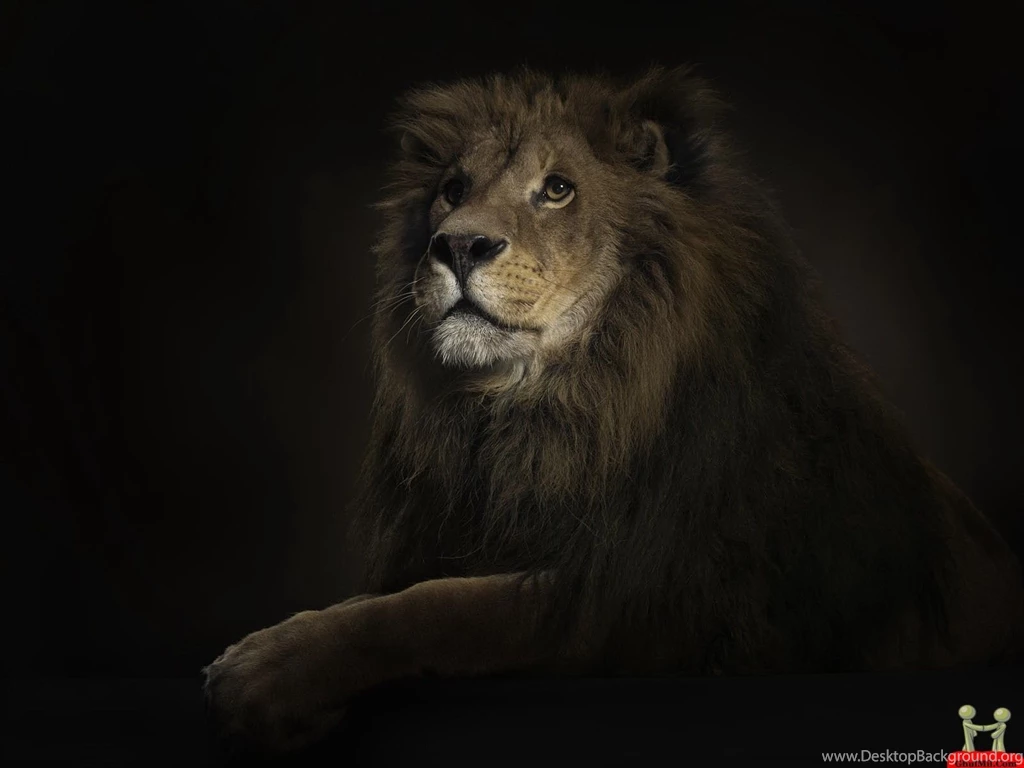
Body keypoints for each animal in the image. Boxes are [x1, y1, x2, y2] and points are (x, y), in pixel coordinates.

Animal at [203, 66, 1024, 754]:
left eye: (558, 189)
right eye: (452, 188)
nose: (456, 244)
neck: (548, 410)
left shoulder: (648, 600)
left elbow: (438, 609)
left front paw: (264, 671)